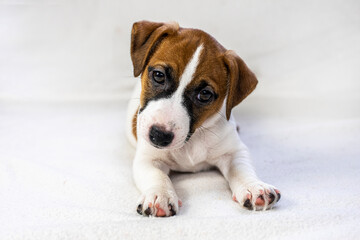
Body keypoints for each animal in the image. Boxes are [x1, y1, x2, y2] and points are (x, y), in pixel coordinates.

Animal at [126, 20, 282, 217]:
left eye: (205, 94)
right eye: (159, 75)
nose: (159, 136)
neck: (191, 140)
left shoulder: (234, 152)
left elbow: (242, 169)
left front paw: (254, 187)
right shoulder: (148, 158)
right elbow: (157, 176)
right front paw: (158, 195)